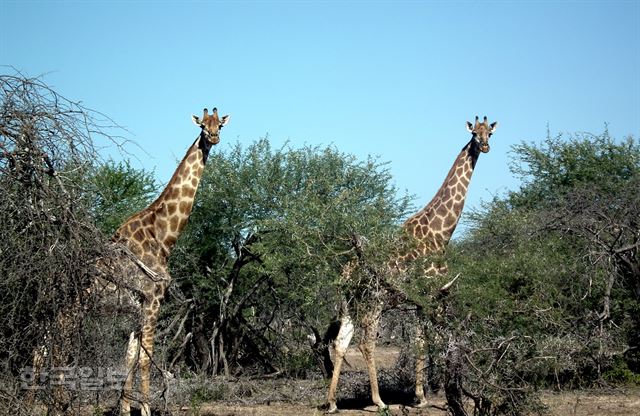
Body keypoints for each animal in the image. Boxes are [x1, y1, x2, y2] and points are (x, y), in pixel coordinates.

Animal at [328, 115, 498, 412]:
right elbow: (433, 339)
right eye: (474, 134)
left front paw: (421, 395)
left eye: (490, 132)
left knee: (341, 341)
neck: (440, 233)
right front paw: (429, 395)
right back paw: (378, 401)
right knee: (367, 343)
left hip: (349, 301)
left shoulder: (422, 297)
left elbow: (420, 339)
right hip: (374, 299)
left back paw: (332, 402)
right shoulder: (432, 291)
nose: (485, 147)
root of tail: (346, 274)